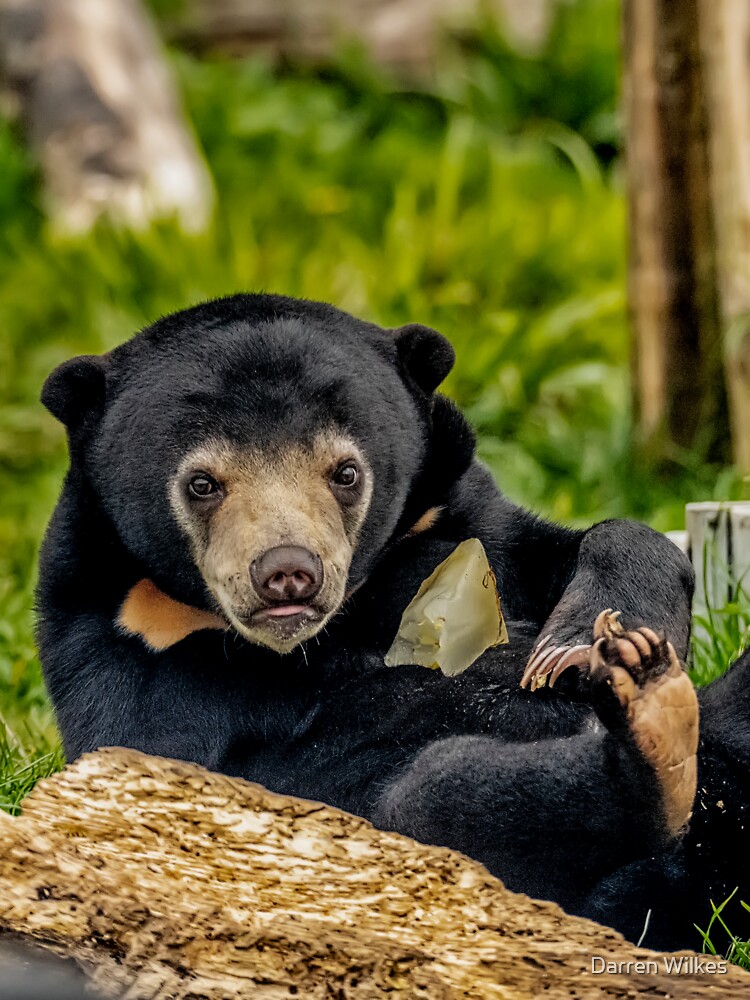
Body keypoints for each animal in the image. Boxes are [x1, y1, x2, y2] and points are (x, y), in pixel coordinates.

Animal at [36, 292, 750, 948]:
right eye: (202, 484)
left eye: (346, 472)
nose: (287, 574)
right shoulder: (119, 645)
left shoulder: (461, 519)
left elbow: (591, 548)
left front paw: (586, 647)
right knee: (445, 792)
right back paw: (653, 736)